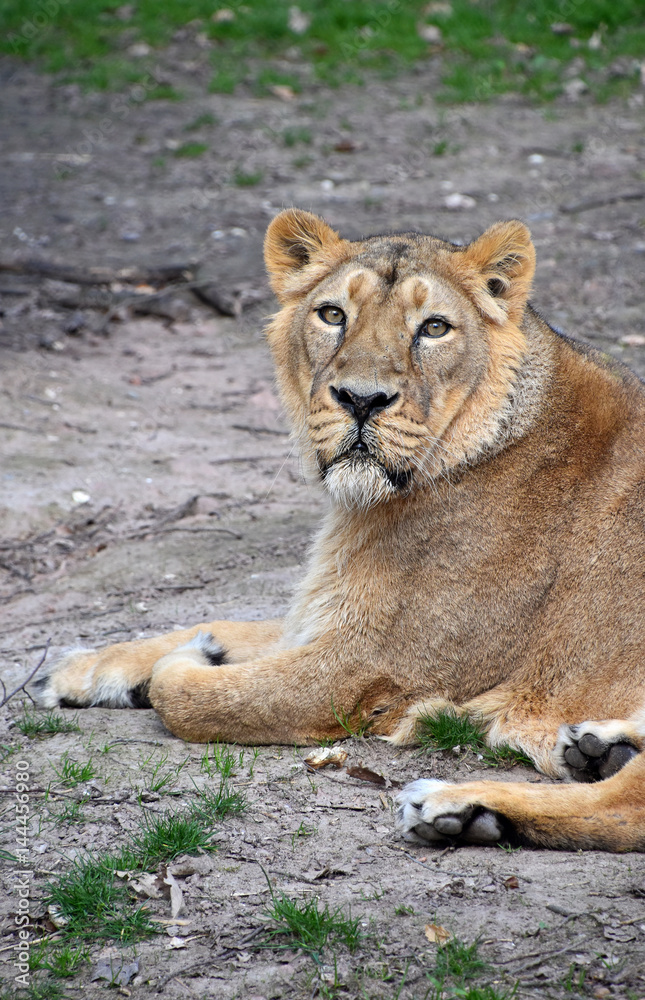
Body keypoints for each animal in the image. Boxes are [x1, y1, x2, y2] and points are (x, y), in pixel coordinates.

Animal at [34, 209, 645, 852]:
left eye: (433, 328)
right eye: (333, 315)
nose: (361, 399)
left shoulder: (370, 668)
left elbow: (190, 696)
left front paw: (191, 660)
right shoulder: (324, 619)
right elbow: (221, 623)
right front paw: (83, 669)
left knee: (625, 809)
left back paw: (458, 806)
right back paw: (596, 748)